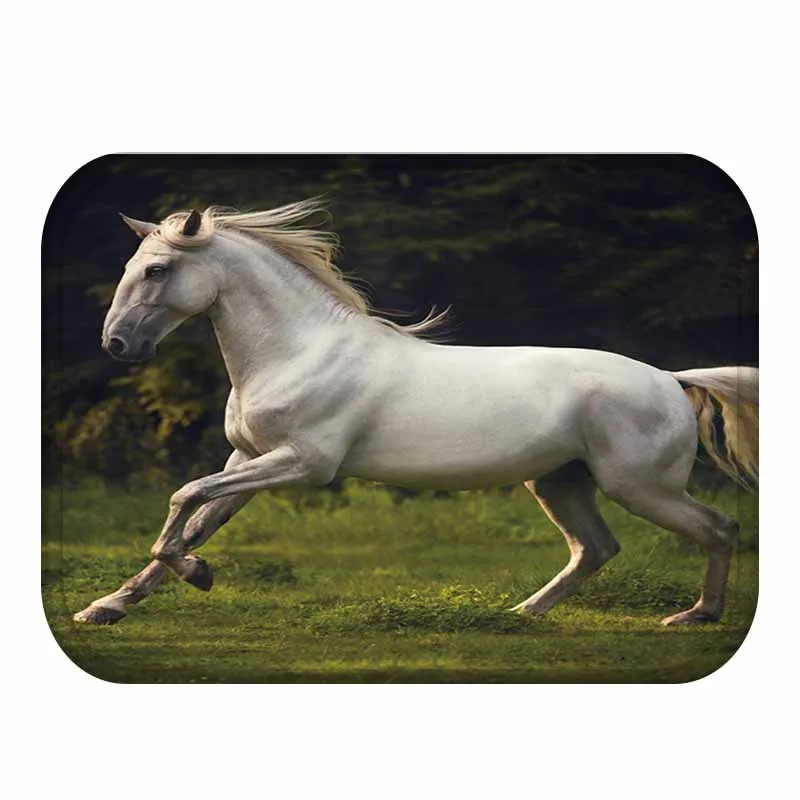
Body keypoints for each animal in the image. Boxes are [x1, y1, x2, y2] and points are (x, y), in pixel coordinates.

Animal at [73, 199, 758, 627]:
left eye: (157, 269)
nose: (117, 344)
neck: (299, 349)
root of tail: (670, 379)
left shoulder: (303, 464)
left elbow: (183, 498)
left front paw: (197, 575)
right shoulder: (250, 457)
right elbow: (194, 520)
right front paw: (109, 606)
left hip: (639, 486)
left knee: (718, 528)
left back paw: (695, 615)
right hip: (560, 482)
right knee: (596, 548)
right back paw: (522, 614)